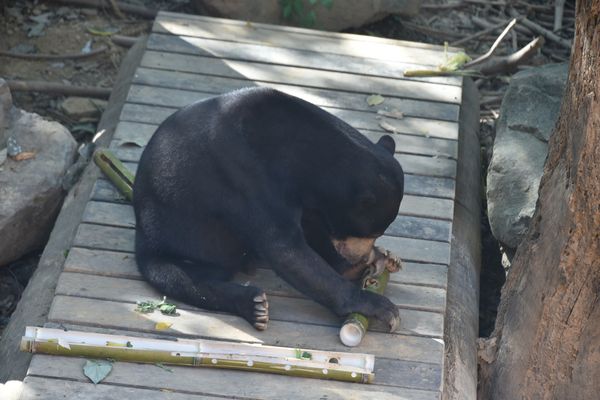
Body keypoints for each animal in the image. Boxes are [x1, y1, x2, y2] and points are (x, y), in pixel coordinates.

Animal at [134, 87, 406, 332]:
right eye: (371, 232)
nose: (361, 254)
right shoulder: (244, 174)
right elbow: (283, 247)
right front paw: (379, 306)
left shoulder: (306, 199)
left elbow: (309, 229)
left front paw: (377, 258)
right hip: (168, 244)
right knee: (182, 278)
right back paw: (254, 306)